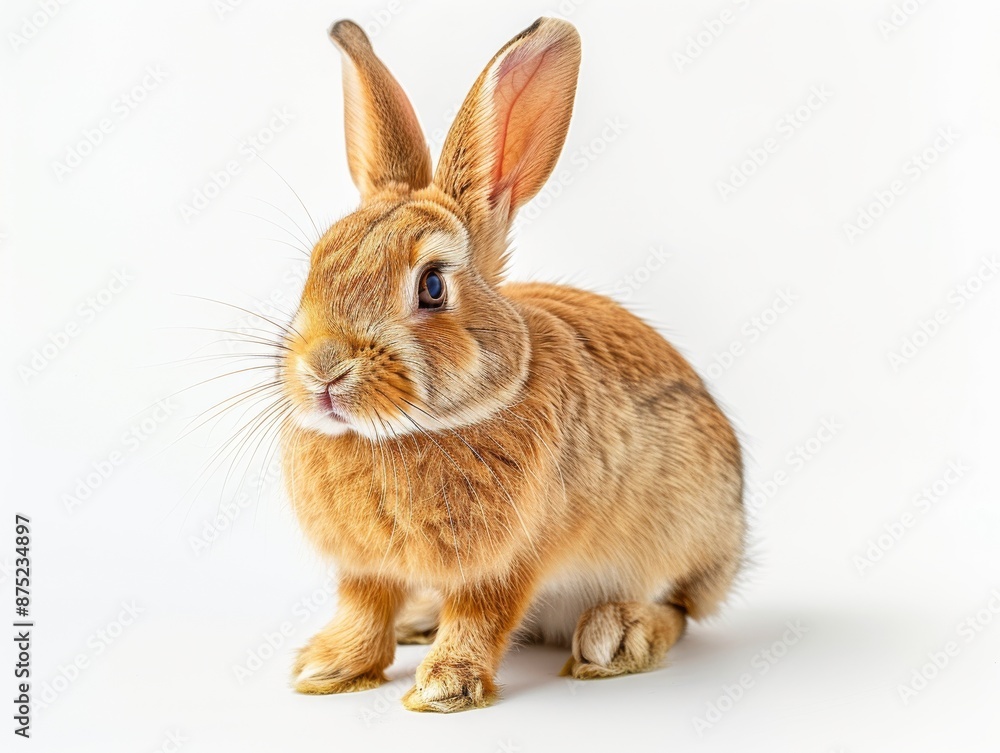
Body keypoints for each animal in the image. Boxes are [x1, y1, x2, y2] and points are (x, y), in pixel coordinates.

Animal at [279, 16, 745, 713]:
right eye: (316, 263)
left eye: (432, 286)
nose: (324, 370)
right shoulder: (366, 568)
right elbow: (363, 606)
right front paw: (327, 669)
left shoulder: (513, 558)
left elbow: (483, 614)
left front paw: (443, 688)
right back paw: (419, 619)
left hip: (681, 533)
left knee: (679, 608)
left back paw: (617, 638)